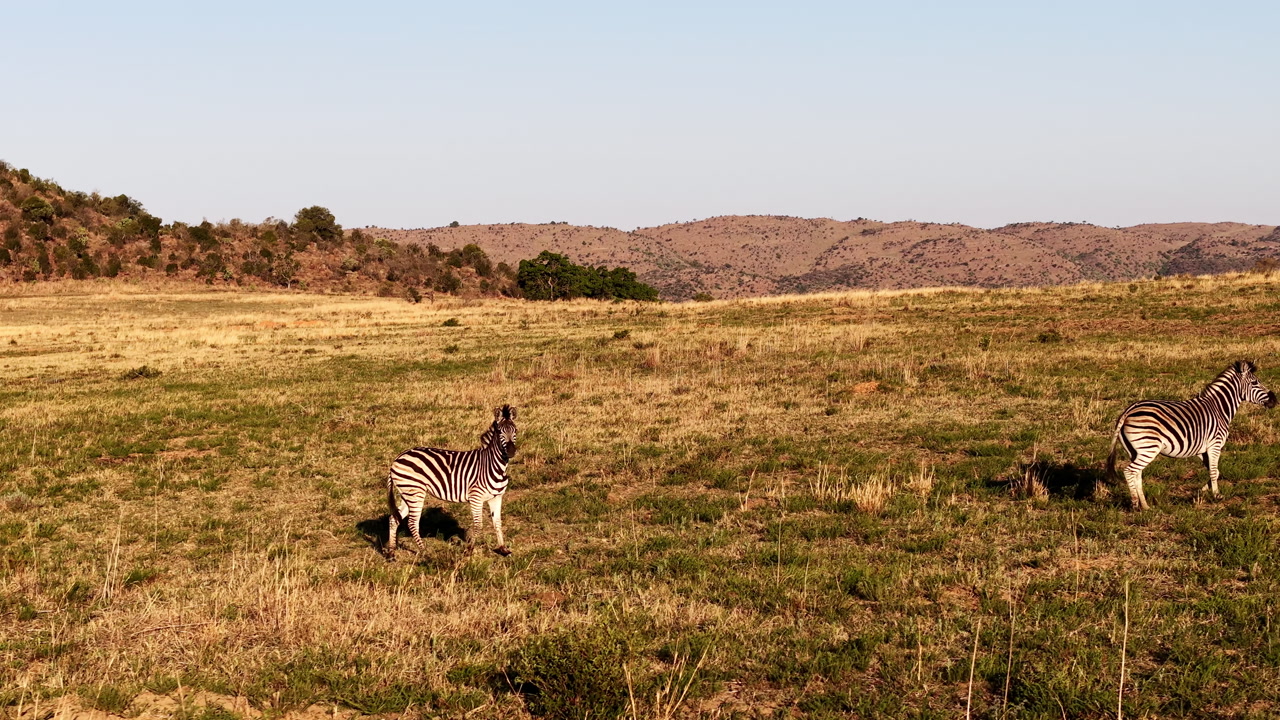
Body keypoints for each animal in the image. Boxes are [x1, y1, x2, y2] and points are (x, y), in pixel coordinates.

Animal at [386, 405, 518, 558]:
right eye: (500, 432)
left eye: (515, 430)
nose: (511, 451)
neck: (493, 465)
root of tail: (397, 459)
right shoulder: (476, 497)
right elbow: (478, 525)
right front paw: (469, 550)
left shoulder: (496, 497)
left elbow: (497, 523)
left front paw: (503, 549)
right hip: (415, 493)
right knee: (412, 523)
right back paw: (425, 552)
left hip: (407, 493)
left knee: (394, 519)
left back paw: (391, 552)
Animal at [1106, 361, 1276, 510]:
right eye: (1255, 382)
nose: (1275, 400)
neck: (1219, 409)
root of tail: (1129, 410)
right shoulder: (1215, 444)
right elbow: (1214, 471)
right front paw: (1216, 495)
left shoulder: (1202, 450)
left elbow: (1215, 471)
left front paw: (1201, 492)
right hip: (1148, 448)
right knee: (1130, 471)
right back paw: (1135, 504)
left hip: (1135, 451)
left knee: (1137, 474)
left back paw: (1145, 505)